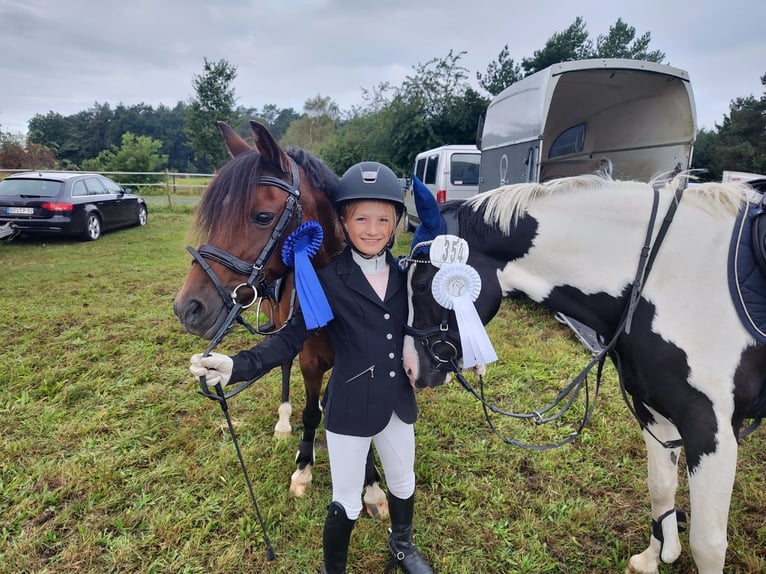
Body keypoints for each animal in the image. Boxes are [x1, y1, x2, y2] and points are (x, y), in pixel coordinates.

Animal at [175, 120, 390, 516]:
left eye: (262, 216)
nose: (188, 308)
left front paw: (371, 488)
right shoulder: (309, 359)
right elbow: (309, 413)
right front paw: (303, 469)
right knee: (285, 369)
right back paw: (285, 423)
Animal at [404, 176, 766, 574]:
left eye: (420, 285)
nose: (410, 367)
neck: (664, 277)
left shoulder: (712, 429)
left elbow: (708, 544)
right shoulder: (654, 413)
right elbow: (660, 490)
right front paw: (652, 559)